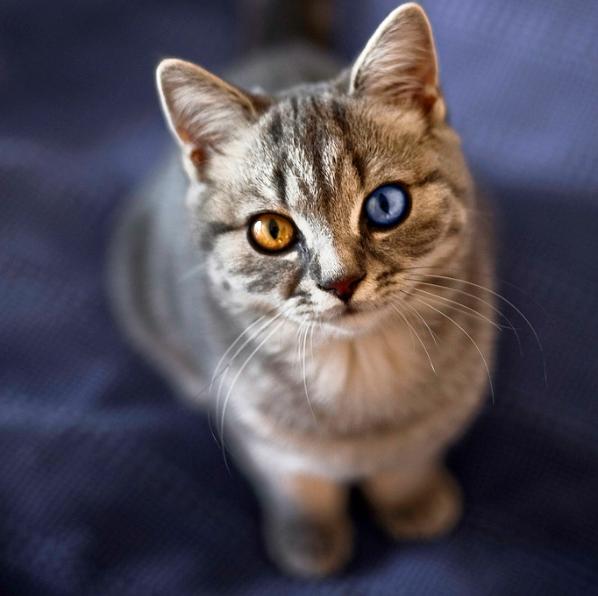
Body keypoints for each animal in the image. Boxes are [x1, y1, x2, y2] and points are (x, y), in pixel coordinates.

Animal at [110, 2, 500, 576]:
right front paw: (310, 533)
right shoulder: (251, 420)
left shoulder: (456, 391)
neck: (358, 369)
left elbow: (410, 454)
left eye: (386, 205)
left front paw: (411, 498)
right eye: (271, 231)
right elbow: (296, 479)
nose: (341, 281)